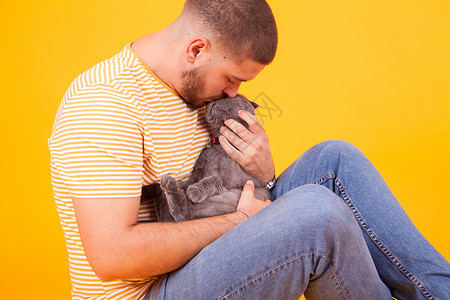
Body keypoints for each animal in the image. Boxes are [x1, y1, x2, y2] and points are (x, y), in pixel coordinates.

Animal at [141, 94, 268, 223]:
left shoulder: (232, 176)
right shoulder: (197, 172)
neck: (218, 146)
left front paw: (194, 190)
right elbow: (188, 182)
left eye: (229, 96)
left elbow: (212, 179)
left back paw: (169, 185)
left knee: (185, 213)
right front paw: (184, 187)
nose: (215, 99)